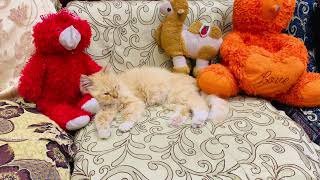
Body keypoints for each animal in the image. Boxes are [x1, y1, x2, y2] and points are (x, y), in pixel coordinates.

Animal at [81, 67, 229, 139]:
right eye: (106, 93)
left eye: (116, 87)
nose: (116, 96)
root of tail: (194, 79)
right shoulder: (106, 110)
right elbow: (100, 121)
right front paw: (104, 133)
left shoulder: (135, 102)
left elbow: (129, 115)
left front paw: (125, 126)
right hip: (171, 101)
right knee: (185, 109)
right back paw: (176, 121)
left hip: (180, 95)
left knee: (201, 105)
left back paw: (198, 120)